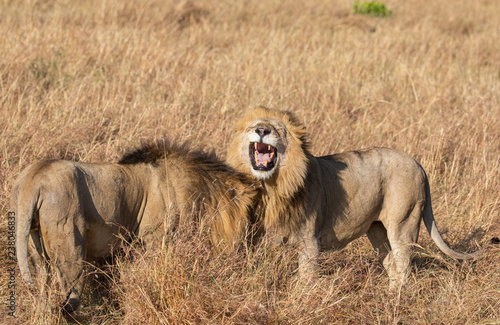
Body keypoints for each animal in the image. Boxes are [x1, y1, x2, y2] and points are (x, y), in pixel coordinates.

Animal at [10, 140, 258, 312]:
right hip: (70, 240)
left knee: (43, 288)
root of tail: (32, 180)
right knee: (70, 296)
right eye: (251, 217)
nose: (250, 248)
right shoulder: (156, 239)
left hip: (32, 242)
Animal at [228, 107, 484, 288]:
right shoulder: (256, 238)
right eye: (254, 126)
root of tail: (417, 163)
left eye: (278, 129)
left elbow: (306, 278)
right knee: (392, 265)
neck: (271, 186)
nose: (262, 131)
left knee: (404, 266)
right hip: (378, 230)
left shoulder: (309, 241)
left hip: (404, 223)